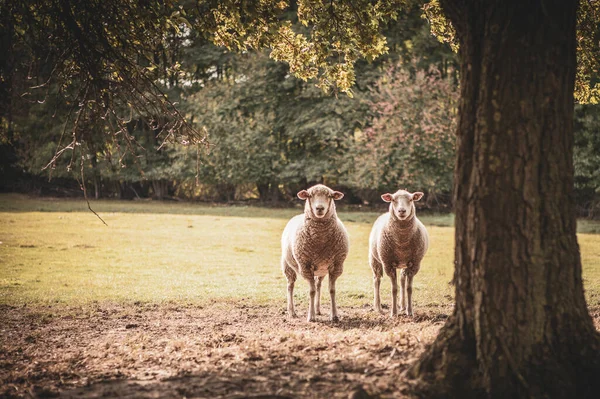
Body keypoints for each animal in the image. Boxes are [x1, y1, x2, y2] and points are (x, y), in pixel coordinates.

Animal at [282, 184, 350, 322]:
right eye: (310, 195)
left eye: (329, 196)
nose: (320, 208)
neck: (320, 241)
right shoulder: (305, 266)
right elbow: (311, 291)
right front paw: (311, 316)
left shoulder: (336, 266)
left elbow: (332, 290)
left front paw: (334, 315)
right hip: (288, 266)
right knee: (290, 286)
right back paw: (292, 312)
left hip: (321, 269)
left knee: (318, 284)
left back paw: (318, 309)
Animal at [368, 189, 428, 318]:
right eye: (393, 200)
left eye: (411, 199)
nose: (402, 211)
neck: (402, 243)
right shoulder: (388, 264)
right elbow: (393, 289)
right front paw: (394, 313)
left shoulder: (415, 264)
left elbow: (409, 288)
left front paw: (410, 312)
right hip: (374, 259)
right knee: (376, 280)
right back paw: (378, 308)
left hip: (404, 263)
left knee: (402, 279)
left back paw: (403, 306)